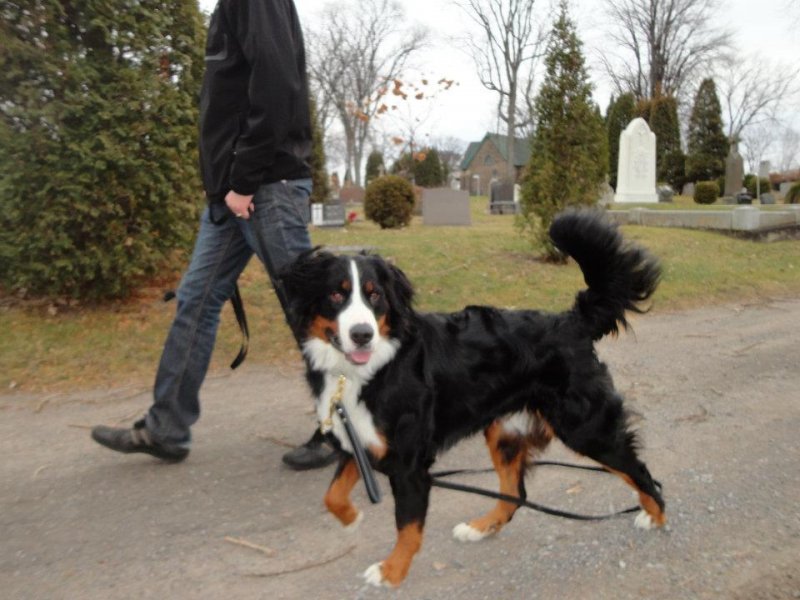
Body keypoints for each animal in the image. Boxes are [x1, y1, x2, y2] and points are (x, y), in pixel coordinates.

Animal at [280, 209, 666, 587]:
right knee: (515, 494)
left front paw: (391, 571)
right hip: (505, 432)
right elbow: (332, 495)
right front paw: (352, 517)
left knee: (641, 471)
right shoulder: (357, 439)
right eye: (336, 295)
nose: (362, 334)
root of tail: (571, 322)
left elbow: (407, 528)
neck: (370, 368)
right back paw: (481, 528)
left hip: (585, 428)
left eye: (375, 296)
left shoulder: (410, 465)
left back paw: (655, 515)